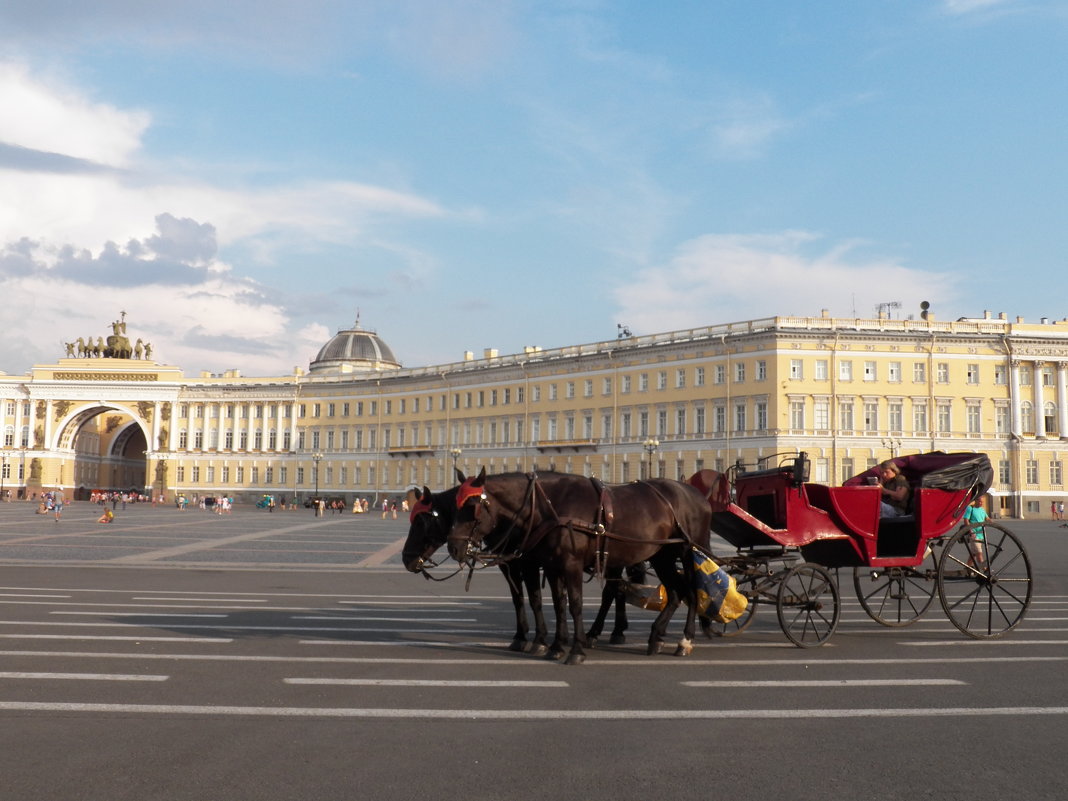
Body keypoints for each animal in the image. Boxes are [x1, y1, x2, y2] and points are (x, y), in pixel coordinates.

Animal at [446, 469, 713, 666]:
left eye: (472, 508)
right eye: (455, 506)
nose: (453, 547)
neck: (550, 507)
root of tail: (697, 495)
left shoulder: (567, 564)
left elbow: (573, 604)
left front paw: (574, 649)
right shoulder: (551, 567)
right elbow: (555, 603)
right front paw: (554, 645)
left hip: (688, 552)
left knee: (691, 590)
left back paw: (685, 640)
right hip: (661, 556)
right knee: (676, 591)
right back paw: (655, 636)